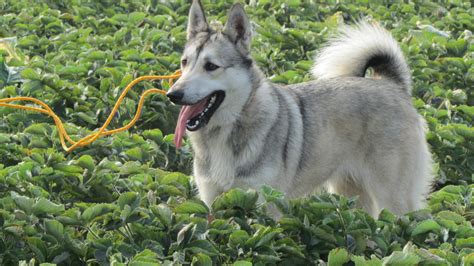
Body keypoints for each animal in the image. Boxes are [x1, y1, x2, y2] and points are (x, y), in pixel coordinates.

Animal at [167, 0, 434, 216]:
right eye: (184, 62)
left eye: (211, 66)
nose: (173, 94)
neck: (228, 129)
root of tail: (392, 85)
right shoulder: (211, 203)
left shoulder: (267, 205)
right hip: (351, 194)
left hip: (394, 198)